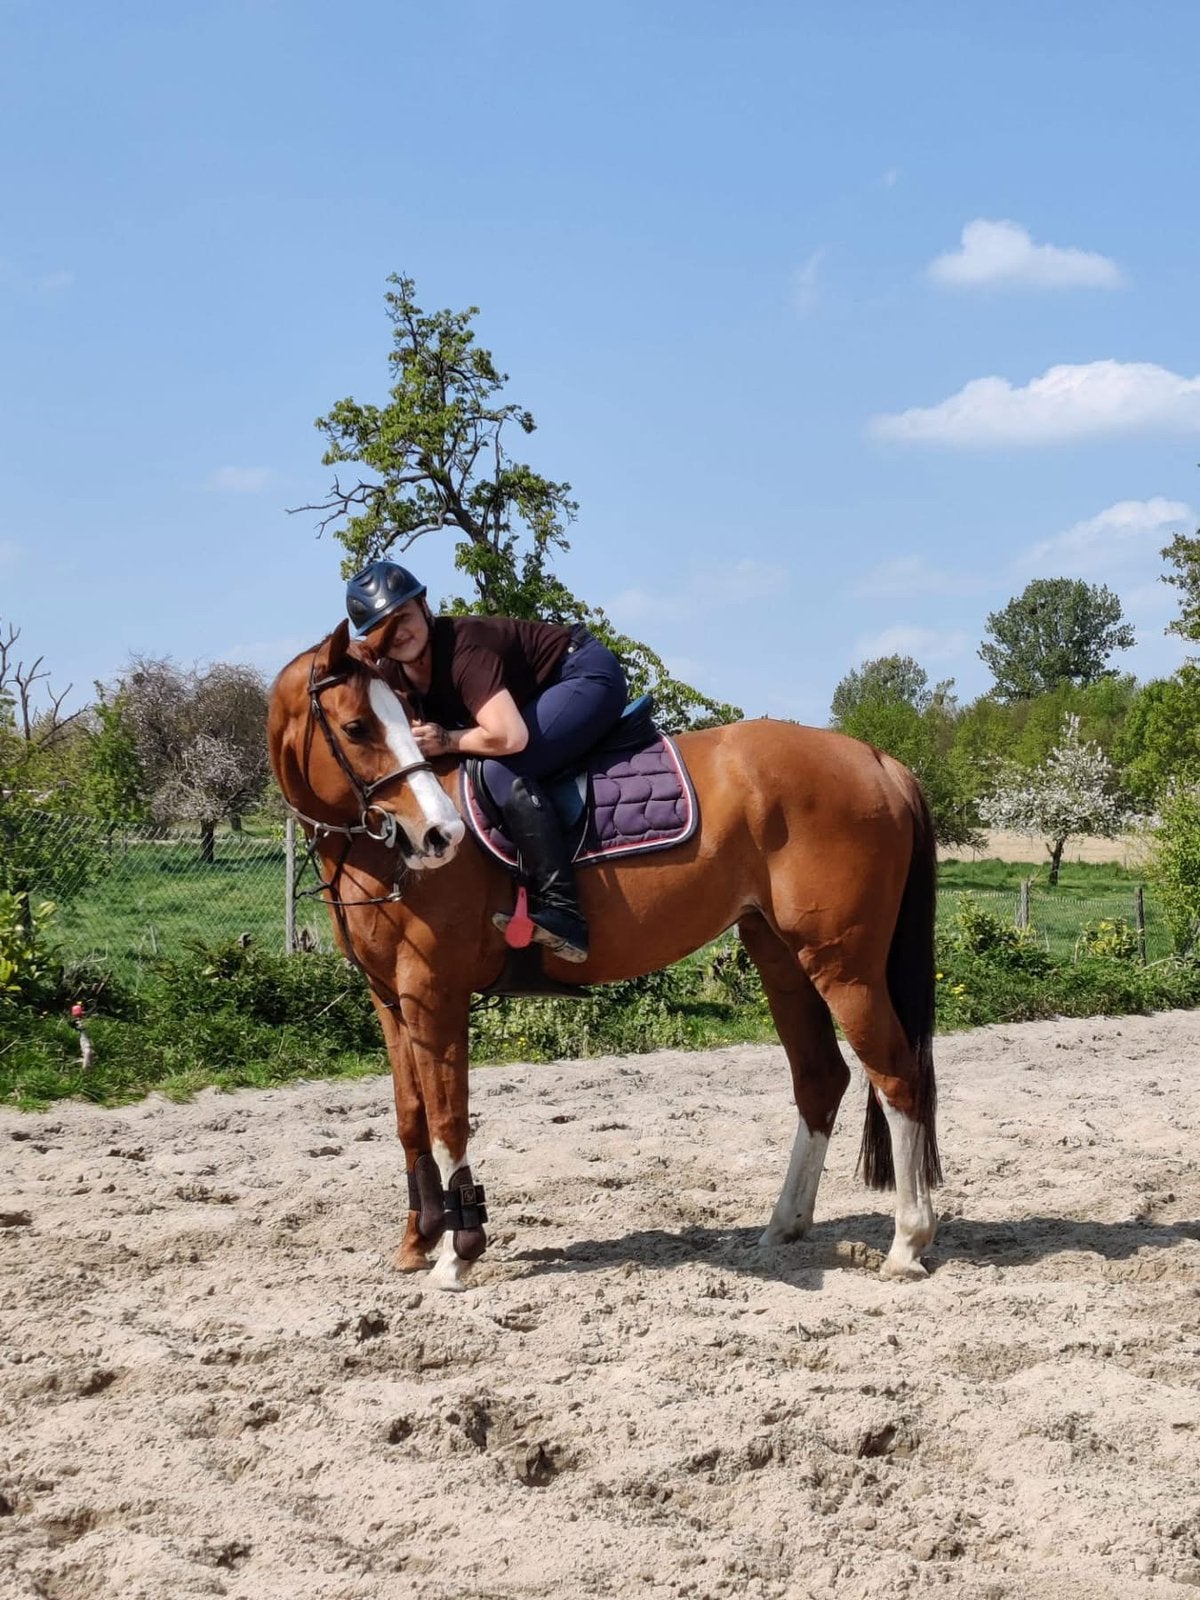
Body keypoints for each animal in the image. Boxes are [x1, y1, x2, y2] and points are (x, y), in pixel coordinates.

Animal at [268, 618, 941, 1291]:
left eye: (397, 722)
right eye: (358, 727)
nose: (440, 835)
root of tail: (878, 760)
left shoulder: (435, 995)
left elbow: (446, 1118)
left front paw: (459, 1252)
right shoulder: (391, 1000)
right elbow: (410, 1118)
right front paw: (417, 1241)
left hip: (844, 969)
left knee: (895, 1075)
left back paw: (907, 1242)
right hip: (782, 960)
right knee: (821, 1078)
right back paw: (785, 1226)